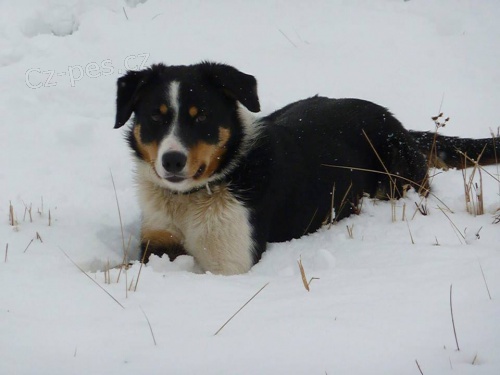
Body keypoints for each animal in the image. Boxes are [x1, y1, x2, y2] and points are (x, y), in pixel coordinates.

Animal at [114, 62, 500, 276]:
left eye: (202, 117)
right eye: (156, 117)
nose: (172, 160)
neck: (189, 199)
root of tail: (396, 122)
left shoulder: (229, 261)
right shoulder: (157, 240)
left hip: (396, 179)